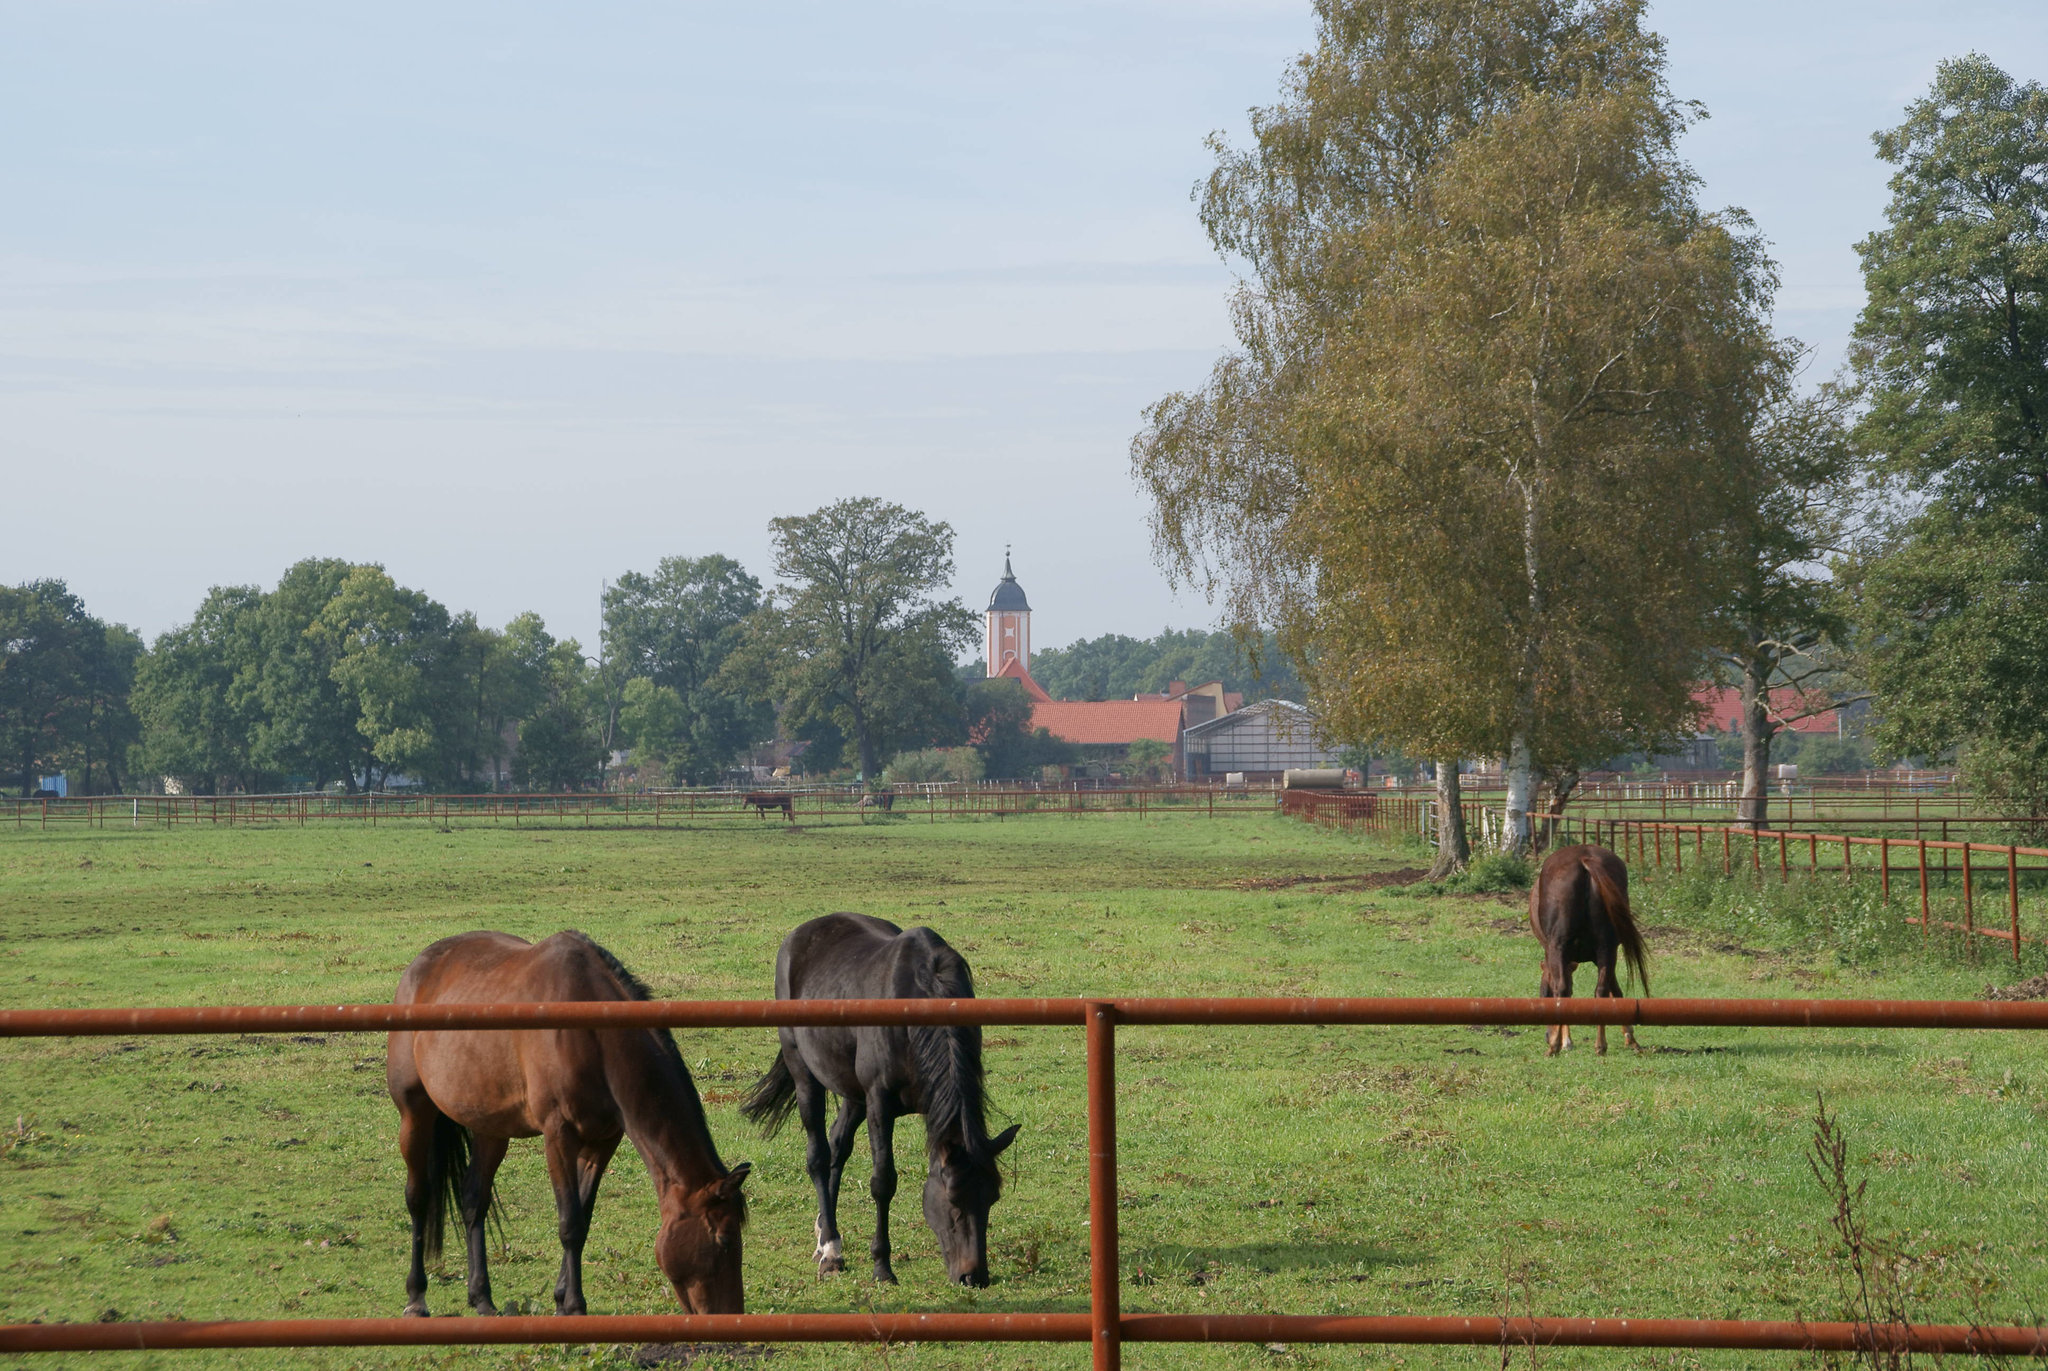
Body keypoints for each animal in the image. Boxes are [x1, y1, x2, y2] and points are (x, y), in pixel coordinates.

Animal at [385, 930, 753, 1311]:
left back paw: (482, 1298)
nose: (732, 1314)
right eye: (724, 1241)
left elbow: (583, 1216)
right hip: (415, 1114)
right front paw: (574, 1305)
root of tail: (418, 967)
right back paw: (416, 1297)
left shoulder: (603, 1140)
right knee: (418, 1196)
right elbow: (569, 1221)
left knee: (474, 1199)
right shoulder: (558, 1135)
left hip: (491, 1127)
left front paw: (562, 1298)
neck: (594, 1035)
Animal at [741, 909, 1019, 1286]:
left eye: (992, 1197)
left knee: (837, 1147)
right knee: (818, 1155)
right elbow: (882, 1181)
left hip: (853, 1093)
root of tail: (799, 934)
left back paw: (826, 1235)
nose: (974, 1277)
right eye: (953, 1201)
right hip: (805, 1075)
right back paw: (830, 1251)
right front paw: (882, 1266)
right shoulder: (879, 1102)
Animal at [1540, 840, 1646, 1057]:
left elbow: (1563, 990)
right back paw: (1600, 1045)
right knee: (1601, 991)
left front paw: (1563, 1041)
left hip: (1558, 947)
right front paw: (1631, 1038)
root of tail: (1584, 859)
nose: (1546, 1035)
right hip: (1606, 948)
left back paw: (1554, 1047)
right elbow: (1616, 991)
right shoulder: (1603, 957)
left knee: (1563, 989)